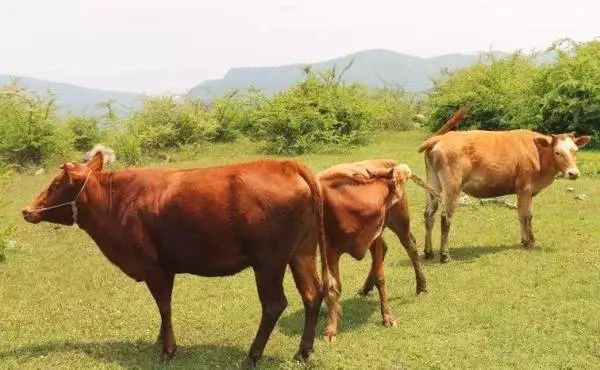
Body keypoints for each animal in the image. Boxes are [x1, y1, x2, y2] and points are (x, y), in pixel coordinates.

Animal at [22, 152, 332, 366]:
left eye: (55, 184)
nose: (27, 210)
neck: (116, 202)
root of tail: (286, 164)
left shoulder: (153, 265)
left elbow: (164, 305)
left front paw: (168, 349)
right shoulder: (165, 266)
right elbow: (164, 307)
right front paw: (160, 341)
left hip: (268, 261)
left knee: (274, 304)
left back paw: (252, 356)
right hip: (302, 251)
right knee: (312, 294)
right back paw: (303, 352)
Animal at [318, 159, 426, 342]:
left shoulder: (375, 236)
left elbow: (380, 277)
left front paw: (388, 316)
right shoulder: (329, 248)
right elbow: (332, 286)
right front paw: (330, 329)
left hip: (400, 222)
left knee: (410, 246)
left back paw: (421, 284)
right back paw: (365, 288)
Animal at [420, 124, 592, 264]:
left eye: (575, 151)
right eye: (557, 152)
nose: (573, 173)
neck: (538, 152)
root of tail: (440, 138)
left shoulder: (528, 191)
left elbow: (527, 216)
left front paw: (529, 239)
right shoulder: (524, 188)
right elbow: (524, 215)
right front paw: (528, 242)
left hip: (433, 183)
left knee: (429, 214)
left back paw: (428, 252)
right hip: (452, 185)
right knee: (445, 217)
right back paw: (445, 255)